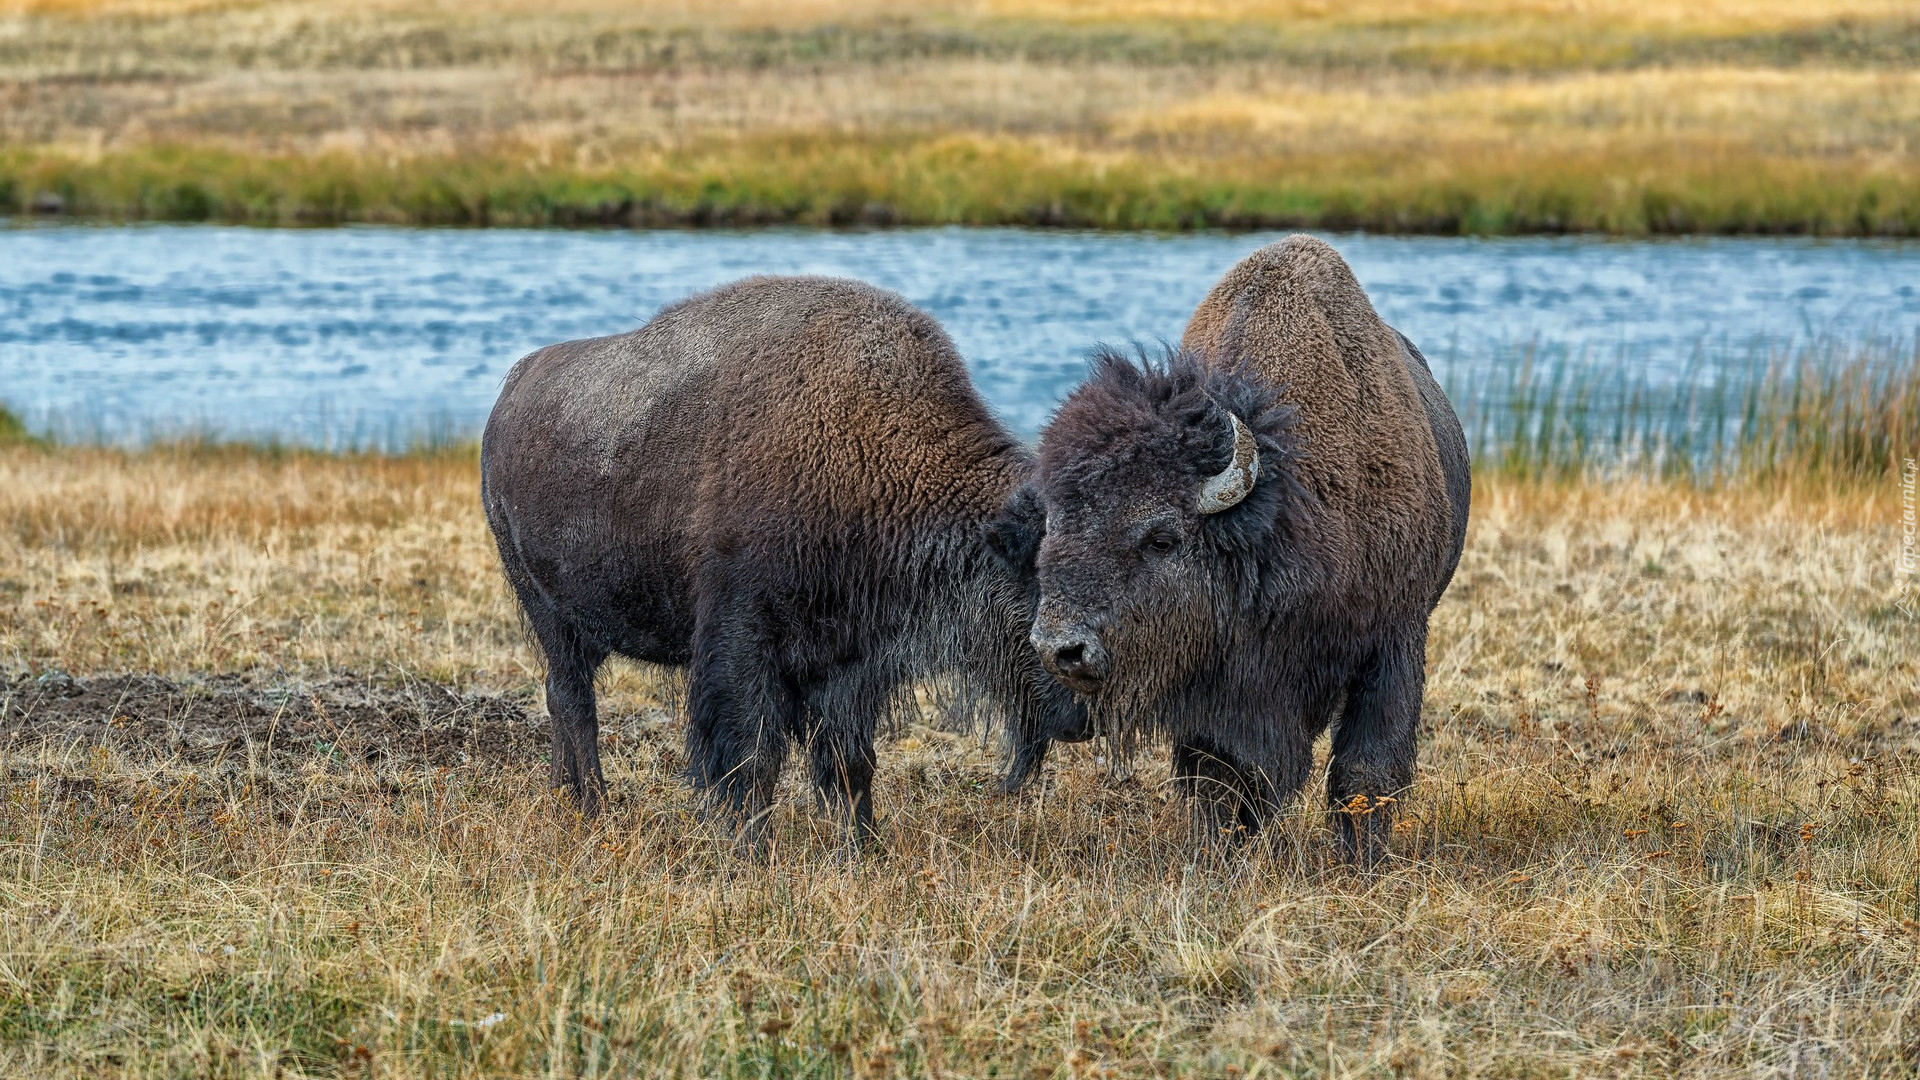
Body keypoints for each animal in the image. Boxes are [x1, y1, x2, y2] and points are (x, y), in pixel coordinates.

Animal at [480, 272, 1082, 845]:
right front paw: (751, 849)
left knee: (562, 698)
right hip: (549, 612)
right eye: (1040, 579)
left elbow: (850, 763)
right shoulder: (744, 641)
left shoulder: (846, 664)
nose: (1085, 704)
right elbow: (752, 757)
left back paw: (567, 795)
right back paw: (593, 805)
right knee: (574, 700)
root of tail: (510, 391)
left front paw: (864, 848)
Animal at [1006, 235, 1466, 857]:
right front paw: (1220, 853)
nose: (1061, 648)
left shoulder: (1393, 641)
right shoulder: (1213, 692)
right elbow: (1220, 776)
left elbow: (1366, 770)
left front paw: (1362, 861)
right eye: (1053, 525)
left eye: (1161, 538)